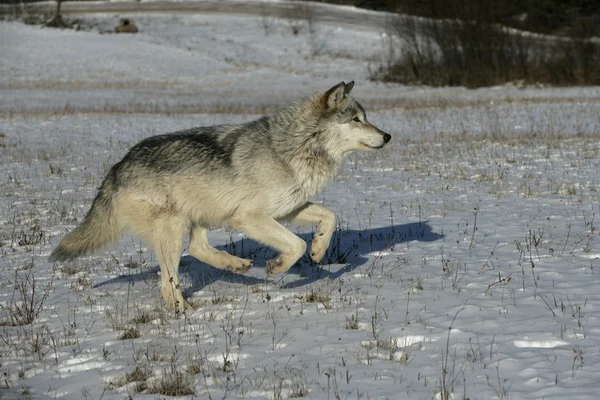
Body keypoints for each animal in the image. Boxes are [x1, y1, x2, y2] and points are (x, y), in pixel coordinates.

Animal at [49, 81, 392, 310]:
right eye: (356, 119)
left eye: (366, 117)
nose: (388, 135)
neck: (294, 146)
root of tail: (119, 164)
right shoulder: (250, 217)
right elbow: (295, 245)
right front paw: (278, 267)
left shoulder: (287, 209)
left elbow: (329, 216)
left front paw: (320, 249)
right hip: (174, 228)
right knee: (168, 280)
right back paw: (183, 312)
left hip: (199, 218)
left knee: (197, 249)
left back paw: (236, 266)